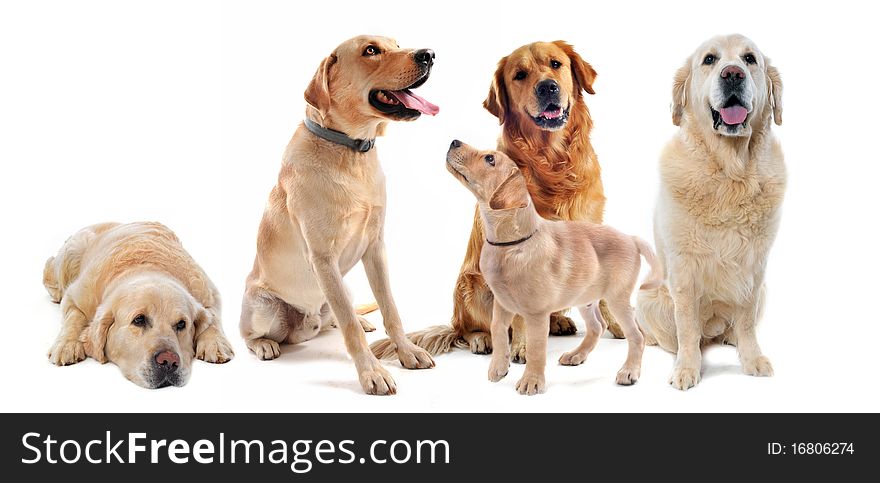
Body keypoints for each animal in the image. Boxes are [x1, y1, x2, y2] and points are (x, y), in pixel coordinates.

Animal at [241, 36, 436, 396]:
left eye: (396, 44)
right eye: (371, 50)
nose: (429, 54)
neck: (350, 151)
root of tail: (307, 325)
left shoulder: (375, 248)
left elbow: (390, 309)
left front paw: (406, 351)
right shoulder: (322, 258)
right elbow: (349, 329)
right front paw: (371, 373)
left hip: (343, 286)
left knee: (336, 314)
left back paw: (359, 318)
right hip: (265, 307)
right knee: (251, 333)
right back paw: (264, 344)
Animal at [446, 142, 660, 396]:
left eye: (490, 159)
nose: (454, 142)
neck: (509, 246)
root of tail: (631, 238)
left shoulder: (536, 313)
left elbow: (536, 348)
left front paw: (531, 381)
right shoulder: (501, 304)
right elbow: (498, 331)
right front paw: (498, 368)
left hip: (617, 298)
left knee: (636, 335)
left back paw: (629, 372)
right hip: (585, 297)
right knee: (597, 327)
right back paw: (576, 355)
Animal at [636, 34, 788, 392]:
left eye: (749, 59)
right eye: (709, 60)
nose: (732, 74)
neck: (730, 174)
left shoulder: (754, 268)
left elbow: (746, 320)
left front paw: (752, 358)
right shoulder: (684, 269)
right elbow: (688, 326)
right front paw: (687, 369)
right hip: (647, 298)